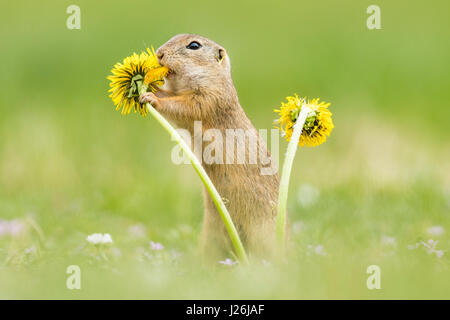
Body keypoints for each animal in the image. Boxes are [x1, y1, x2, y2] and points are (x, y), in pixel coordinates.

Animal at [141, 34, 282, 260]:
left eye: (194, 45)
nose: (159, 53)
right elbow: (169, 97)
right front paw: (149, 88)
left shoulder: (207, 98)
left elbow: (183, 106)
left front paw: (150, 97)